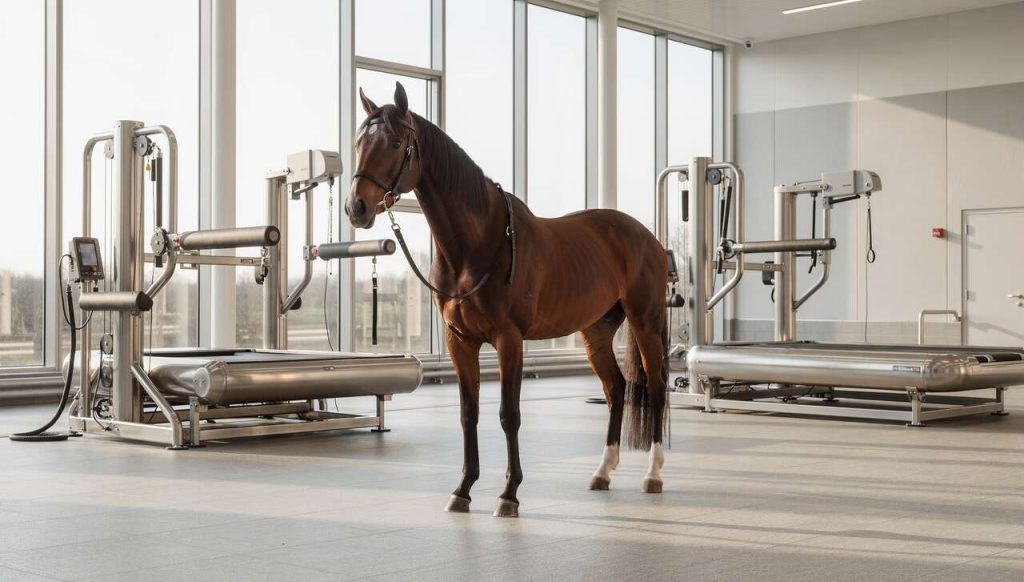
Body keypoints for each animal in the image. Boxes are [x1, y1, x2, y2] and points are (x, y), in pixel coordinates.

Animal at [345, 82, 669, 518]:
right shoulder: (459, 341)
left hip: (645, 320)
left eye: (396, 143)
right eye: (359, 141)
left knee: (655, 387)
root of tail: (646, 237)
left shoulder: (508, 340)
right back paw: (602, 472)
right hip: (596, 331)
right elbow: (468, 414)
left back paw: (653, 475)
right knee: (615, 389)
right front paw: (463, 489)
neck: (478, 246)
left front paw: (509, 494)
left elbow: (508, 414)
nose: (357, 207)